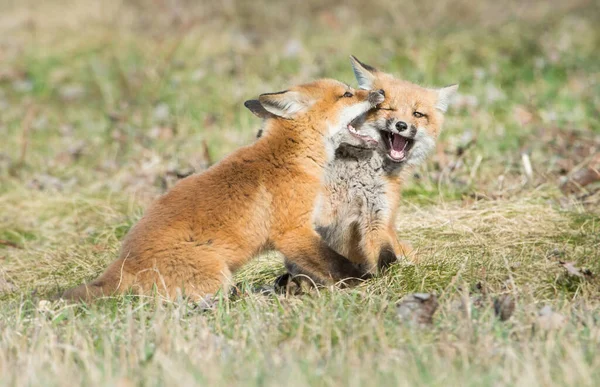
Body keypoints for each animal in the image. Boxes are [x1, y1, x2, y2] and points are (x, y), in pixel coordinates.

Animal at [63, 79, 384, 304]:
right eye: (347, 94)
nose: (379, 92)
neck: (289, 157)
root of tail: (124, 260)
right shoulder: (293, 232)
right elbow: (334, 264)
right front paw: (366, 281)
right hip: (217, 276)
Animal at [246, 56, 458, 288]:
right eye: (387, 108)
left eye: (418, 114)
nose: (401, 125)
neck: (358, 174)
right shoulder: (321, 208)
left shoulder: (376, 215)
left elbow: (385, 256)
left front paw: (389, 280)